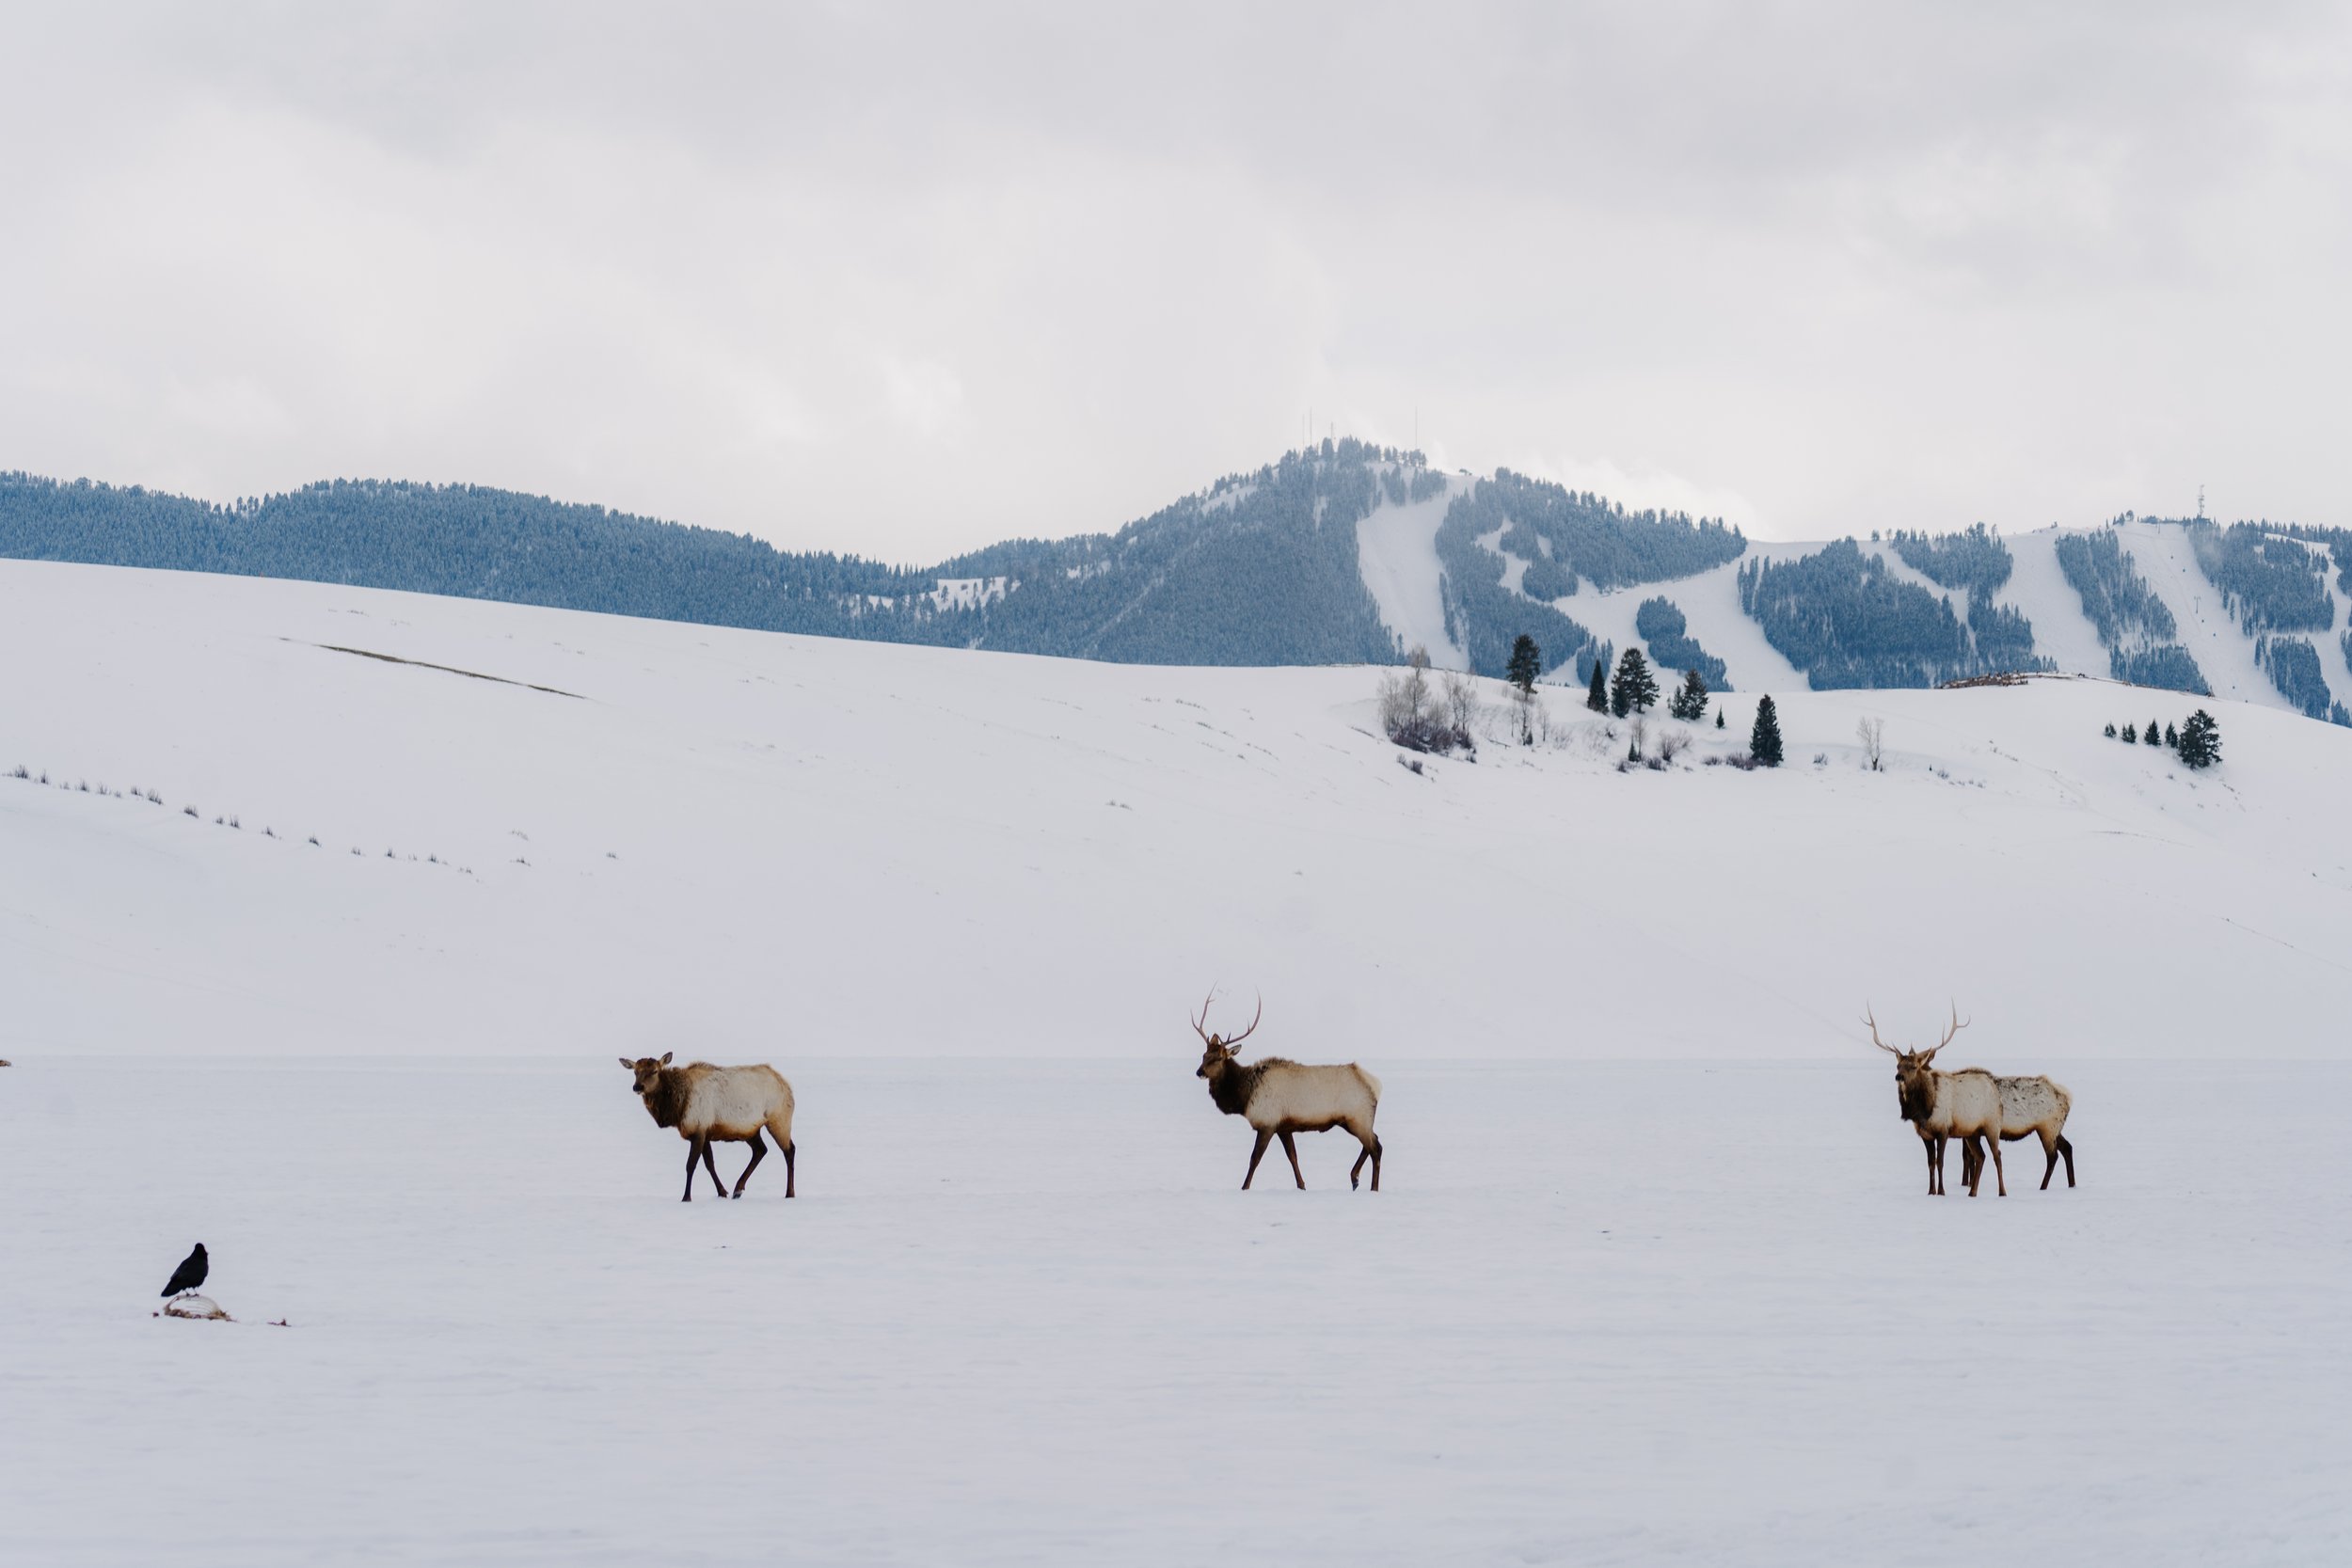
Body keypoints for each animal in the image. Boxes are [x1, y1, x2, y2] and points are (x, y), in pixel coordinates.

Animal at [620, 1053, 796, 1202]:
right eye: (635, 1071)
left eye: (654, 1071)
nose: (637, 1087)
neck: (677, 1106)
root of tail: (785, 1084)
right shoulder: (704, 1132)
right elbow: (709, 1164)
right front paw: (722, 1192)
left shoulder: (699, 1130)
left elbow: (691, 1165)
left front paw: (686, 1197)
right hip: (749, 1129)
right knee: (761, 1150)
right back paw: (738, 1189)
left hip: (779, 1119)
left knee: (789, 1150)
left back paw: (789, 1193)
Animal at [1192, 994, 1383, 1191]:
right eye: (1204, 1055)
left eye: (1219, 1058)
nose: (1199, 1072)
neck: (1243, 1097)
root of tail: (1374, 1083)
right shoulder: (1283, 1127)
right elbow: (1292, 1156)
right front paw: (1302, 1186)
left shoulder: (1267, 1123)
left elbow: (1255, 1159)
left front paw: (1244, 1187)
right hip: (1354, 1121)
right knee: (1373, 1142)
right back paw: (1355, 1178)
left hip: (1357, 1118)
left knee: (1376, 1147)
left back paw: (1372, 1187)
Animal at [1866, 1004, 2006, 1197]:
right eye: (1898, 1065)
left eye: (1914, 1066)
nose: (1898, 1077)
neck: (1924, 1111)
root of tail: (1995, 1089)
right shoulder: (1925, 1134)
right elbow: (1930, 1164)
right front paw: (1930, 1191)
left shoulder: (1943, 1130)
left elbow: (1940, 1162)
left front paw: (1941, 1191)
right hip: (1972, 1132)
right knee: (1981, 1156)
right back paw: (1972, 1192)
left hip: (1992, 1125)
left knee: (1997, 1155)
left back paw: (2002, 1192)